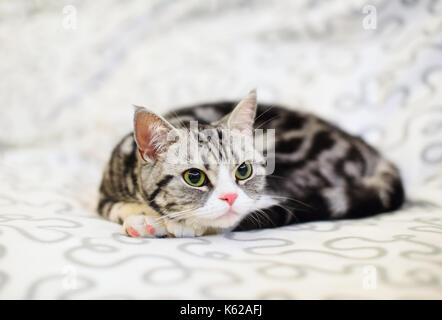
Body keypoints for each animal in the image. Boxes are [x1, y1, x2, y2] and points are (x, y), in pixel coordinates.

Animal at [96, 90, 404, 238]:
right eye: (194, 177)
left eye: (243, 170)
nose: (230, 197)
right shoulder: (106, 188)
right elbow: (113, 206)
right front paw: (143, 218)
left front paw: (172, 224)